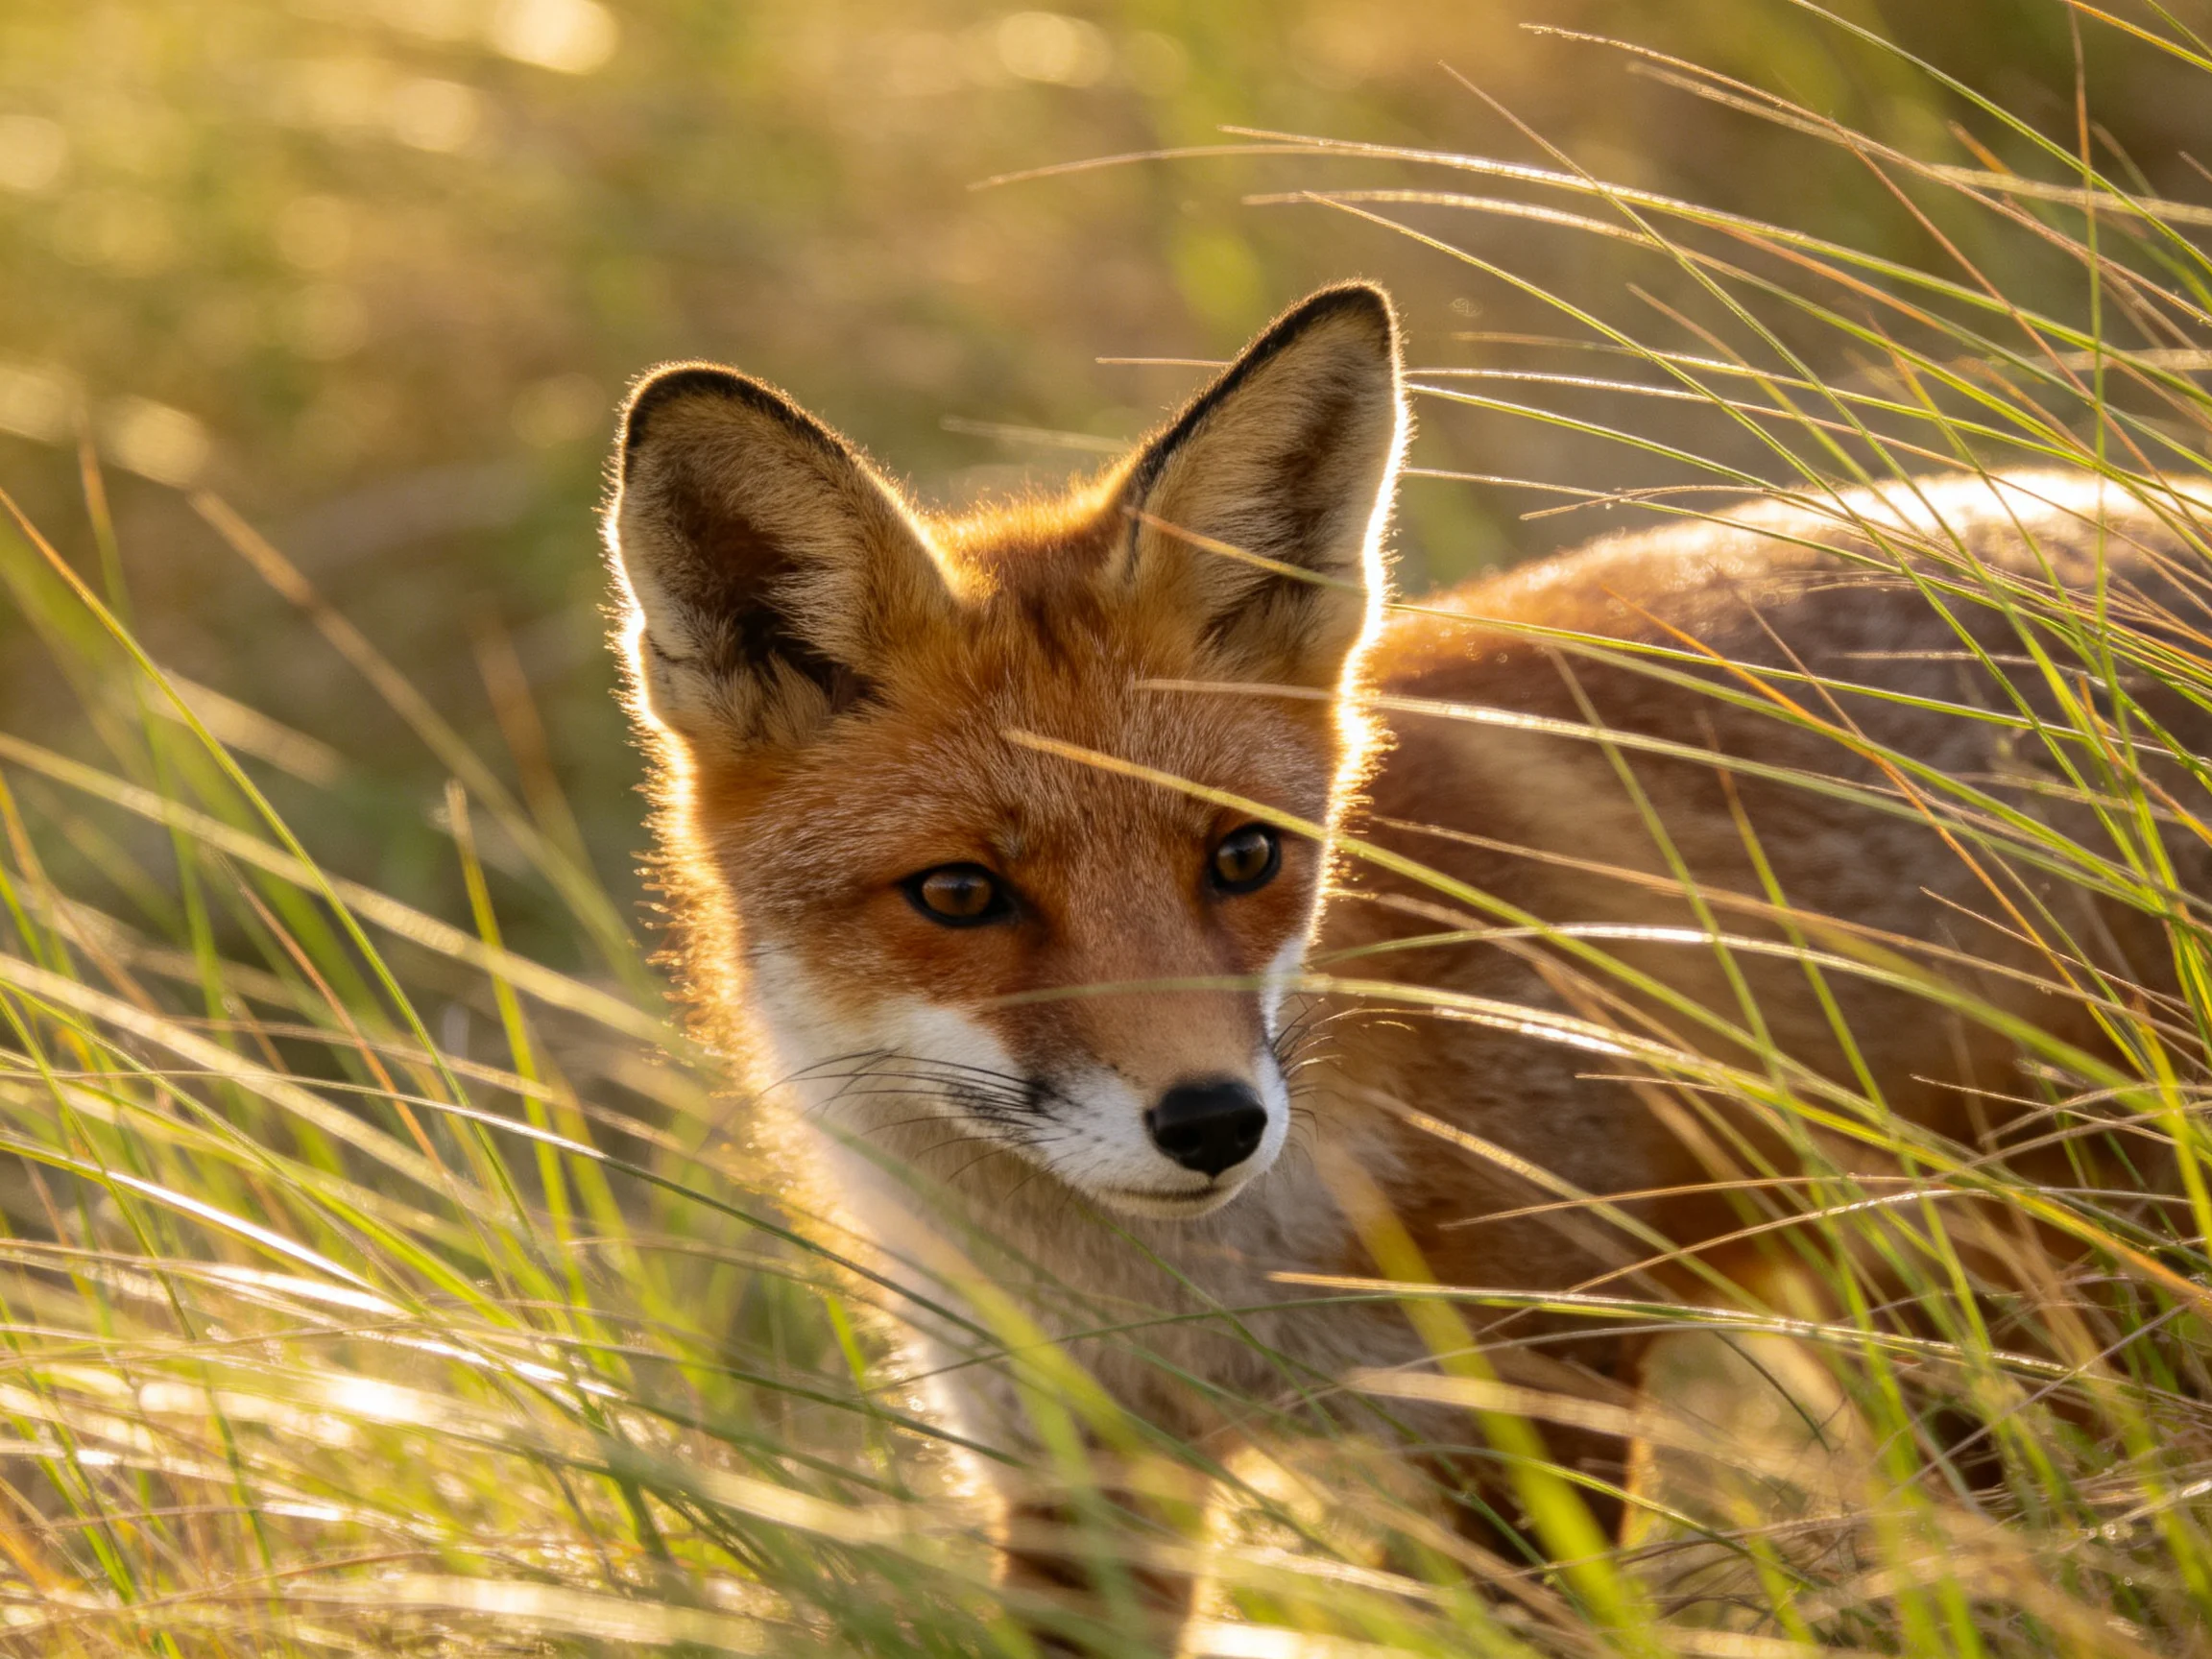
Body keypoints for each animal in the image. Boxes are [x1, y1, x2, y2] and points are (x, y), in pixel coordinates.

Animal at [602, 283, 2207, 1625]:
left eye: (1244, 858)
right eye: (957, 894)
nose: (1213, 1123)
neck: (1202, 1300)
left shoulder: (1539, 1410)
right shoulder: (1073, 1471)